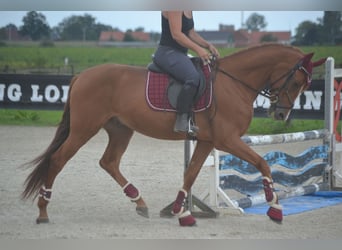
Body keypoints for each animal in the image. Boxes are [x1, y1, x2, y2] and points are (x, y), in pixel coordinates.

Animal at [20, 44, 326, 227]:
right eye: (297, 82)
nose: (280, 115)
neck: (234, 83)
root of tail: (81, 76)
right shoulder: (227, 140)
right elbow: (262, 163)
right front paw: (275, 208)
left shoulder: (207, 141)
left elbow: (190, 174)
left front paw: (182, 211)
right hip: (85, 128)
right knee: (58, 160)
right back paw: (43, 211)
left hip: (121, 129)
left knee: (109, 162)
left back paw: (139, 202)